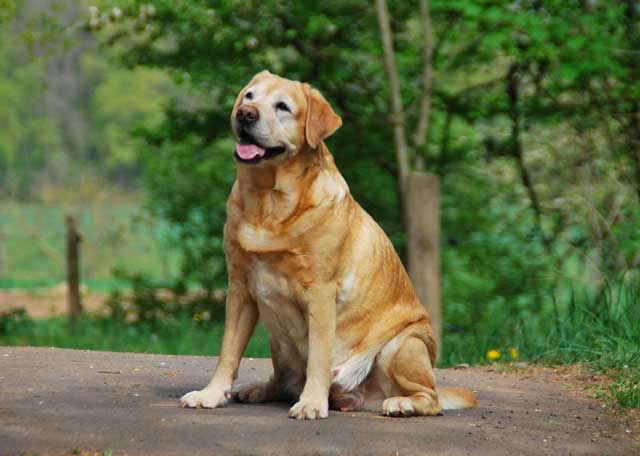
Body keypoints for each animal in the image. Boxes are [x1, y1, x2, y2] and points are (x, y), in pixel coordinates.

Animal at [180, 71, 477, 419]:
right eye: (249, 96)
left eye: (283, 106)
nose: (245, 114)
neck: (267, 204)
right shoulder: (239, 287)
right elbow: (228, 351)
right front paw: (211, 394)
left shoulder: (320, 292)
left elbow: (318, 357)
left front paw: (311, 403)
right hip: (279, 342)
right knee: (282, 379)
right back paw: (260, 389)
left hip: (403, 345)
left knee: (431, 398)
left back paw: (401, 403)